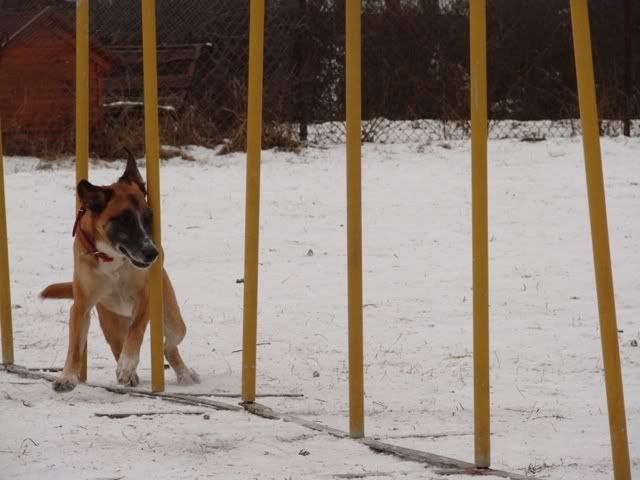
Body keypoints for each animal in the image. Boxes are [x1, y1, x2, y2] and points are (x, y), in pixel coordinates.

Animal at [40, 150, 199, 392]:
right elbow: (75, 346)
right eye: (124, 220)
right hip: (110, 322)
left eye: (148, 217)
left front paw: (127, 365)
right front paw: (67, 377)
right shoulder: (81, 306)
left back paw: (184, 374)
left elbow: (136, 331)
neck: (112, 258)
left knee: (168, 345)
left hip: (172, 319)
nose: (152, 253)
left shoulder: (145, 297)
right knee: (118, 344)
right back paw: (132, 376)